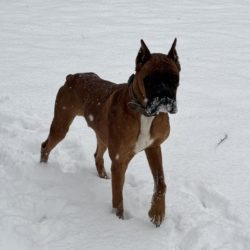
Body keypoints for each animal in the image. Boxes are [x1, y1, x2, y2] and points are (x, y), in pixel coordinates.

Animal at [40, 38, 180, 227]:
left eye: (174, 79)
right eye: (150, 80)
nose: (165, 96)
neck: (143, 112)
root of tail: (73, 76)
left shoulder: (154, 148)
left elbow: (161, 183)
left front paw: (157, 212)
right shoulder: (120, 162)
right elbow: (118, 198)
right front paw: (118, 221)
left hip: (102, 136)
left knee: (97, 156)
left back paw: (102, 175)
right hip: (61, 125)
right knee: (46, 146)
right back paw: (43, 170)